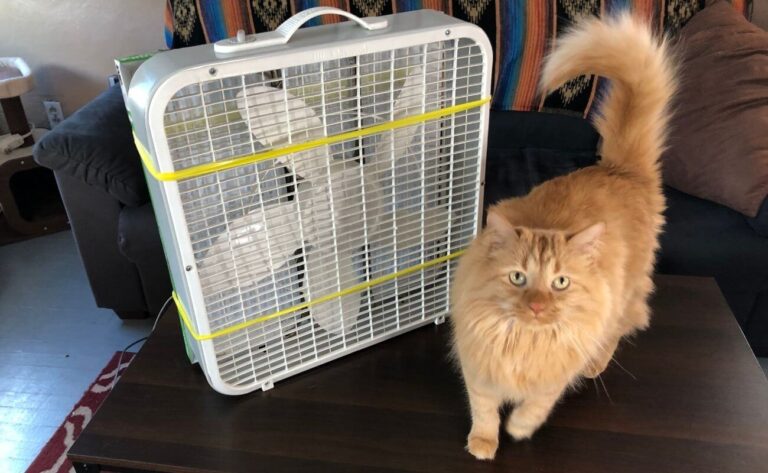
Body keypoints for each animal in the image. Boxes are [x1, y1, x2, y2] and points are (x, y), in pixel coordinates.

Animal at [450, 12, 680, 460]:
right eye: (518, 277)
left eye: (560, 283)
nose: (538, 307)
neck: (525, 339)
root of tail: (619, 169)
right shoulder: (478, 368)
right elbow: (483, 409)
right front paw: (483, 444)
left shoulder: (553, 374)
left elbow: (538, 404)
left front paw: (519, 429)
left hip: (621, 301)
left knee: (618, 331)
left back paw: (595, 365)